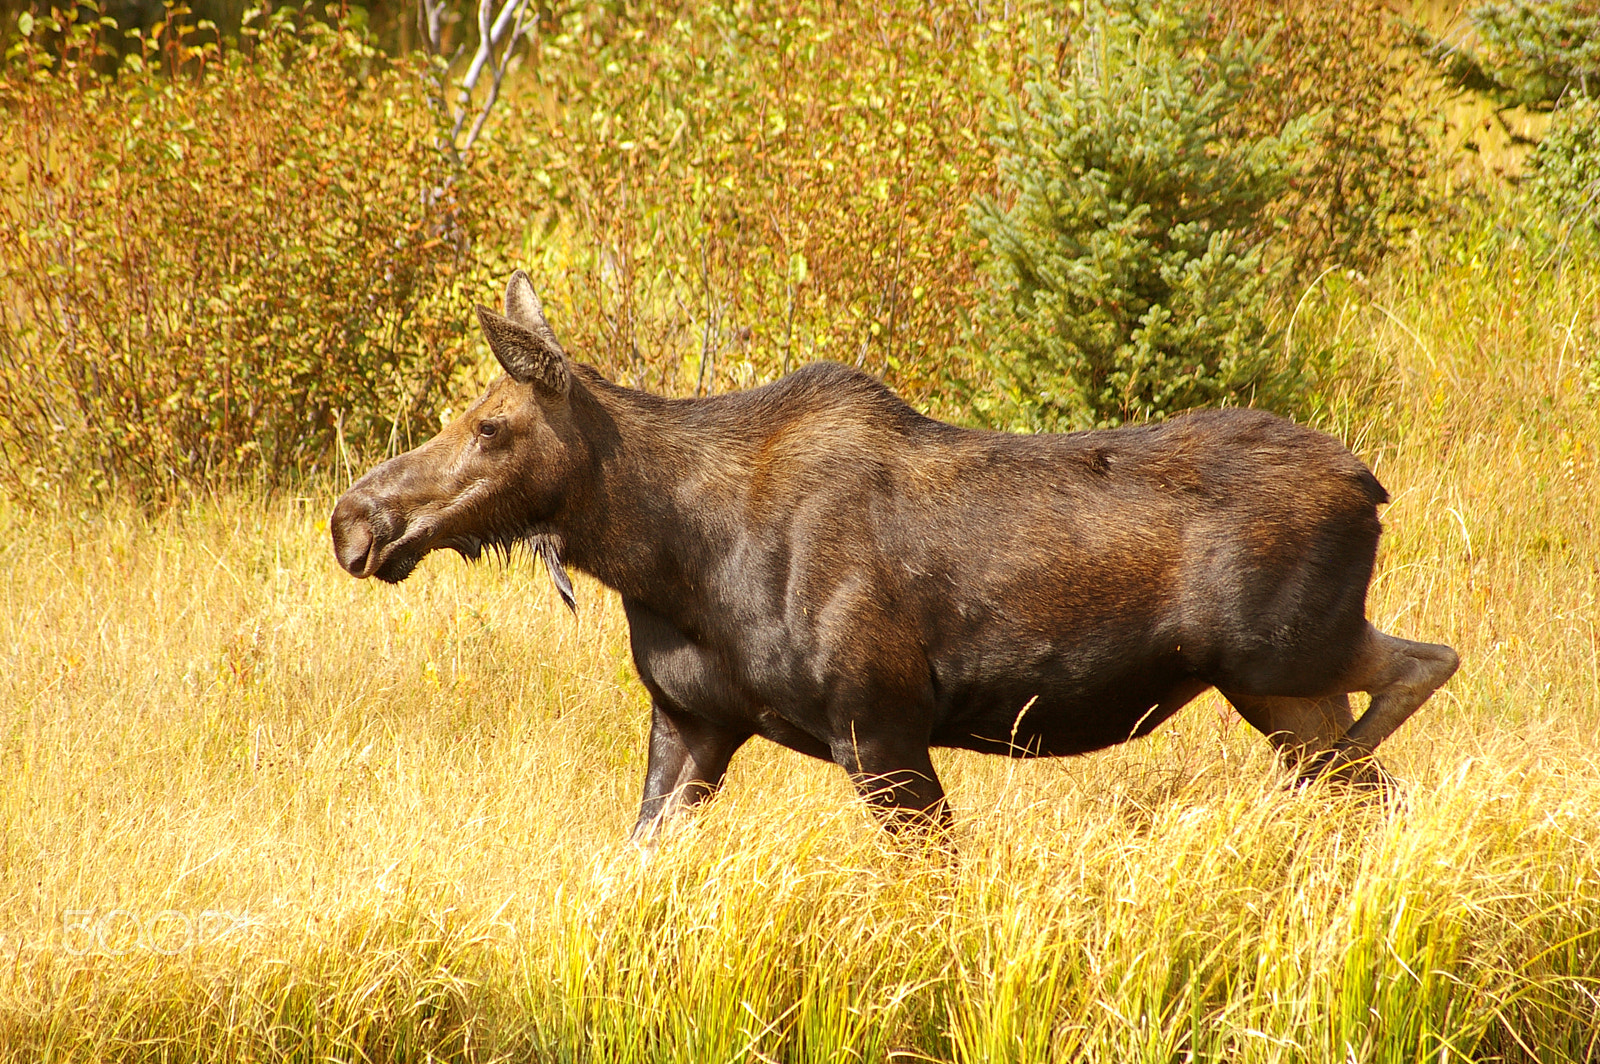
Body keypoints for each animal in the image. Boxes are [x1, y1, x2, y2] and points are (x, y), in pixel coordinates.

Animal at [334, 270, 1465, 832]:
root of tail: (1370, 486)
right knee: (1382, 775)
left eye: (490, 426)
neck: (666, 559)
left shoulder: (879, 724)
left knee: (1420, 673)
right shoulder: (691, 724)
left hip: (1280, 655)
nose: (356, 518)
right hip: (1281, 685)